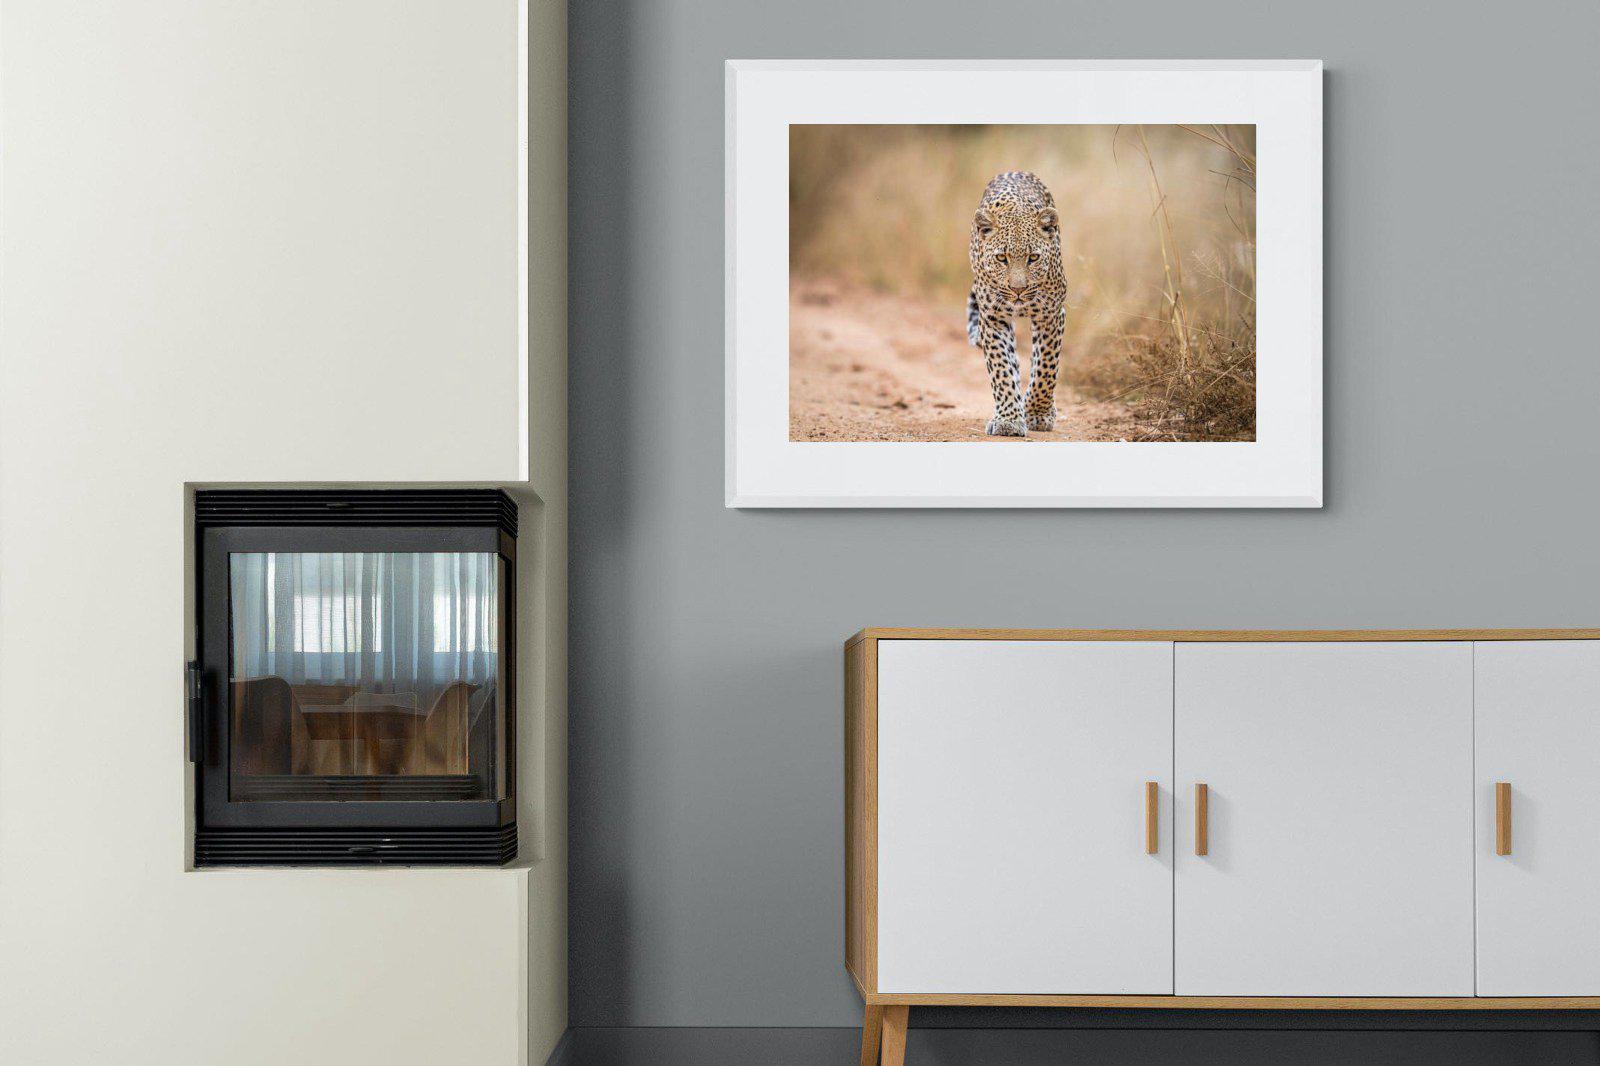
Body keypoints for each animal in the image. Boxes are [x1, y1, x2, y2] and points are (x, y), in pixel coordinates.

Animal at [966, 171, 1069, 437]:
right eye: (1002, 258)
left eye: (1033, 258)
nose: (1018, 290)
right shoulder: (993, 318)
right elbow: (1001, 368)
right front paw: (1009, 420)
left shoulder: (1051, 314)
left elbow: (1046, 368)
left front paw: (1038, 413)